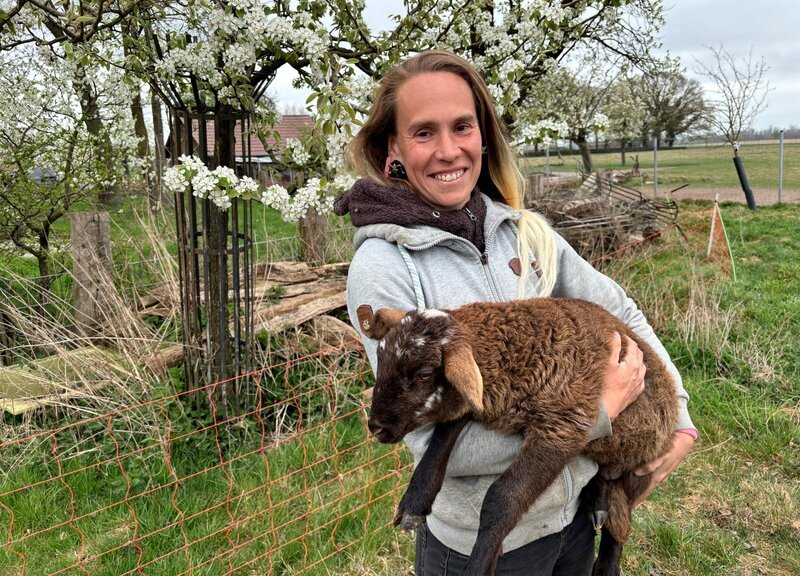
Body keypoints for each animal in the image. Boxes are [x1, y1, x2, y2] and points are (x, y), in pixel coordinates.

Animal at [362, 297, 679, 576]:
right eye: (380, 360)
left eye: (424, 374)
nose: (376, 426)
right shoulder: (479, 397)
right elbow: (443, 434)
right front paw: (415, 502)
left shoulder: (562, 427)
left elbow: (502, 499)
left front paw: (479, 563)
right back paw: (597, 504)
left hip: (642, 465)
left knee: (620, 521)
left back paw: (607, 562)